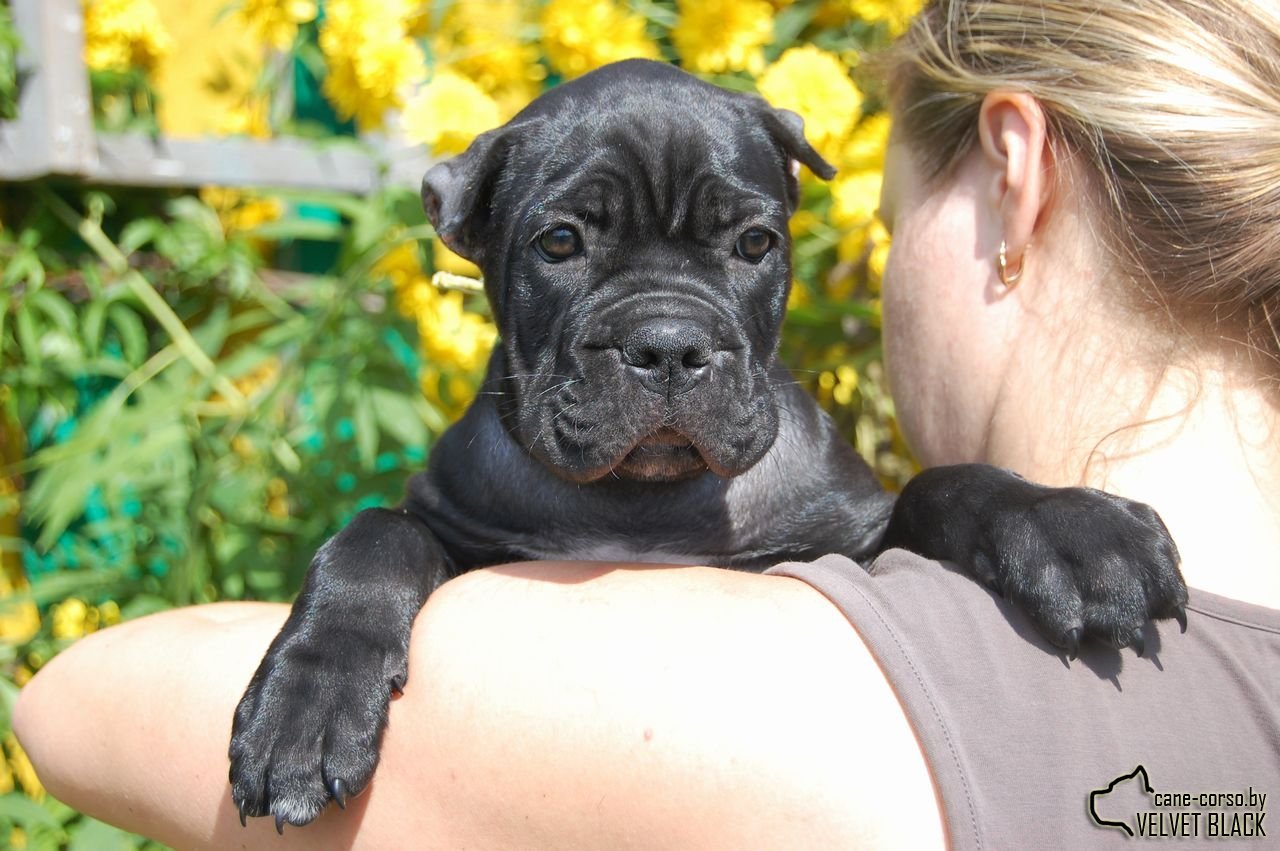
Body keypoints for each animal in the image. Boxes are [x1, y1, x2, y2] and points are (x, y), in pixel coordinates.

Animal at [230, 61, 1187, 829]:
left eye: (755, 242)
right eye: (560, 242)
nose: (666, 344)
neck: (644, 498)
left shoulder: (853, 534)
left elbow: (945, 484)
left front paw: (1072, 530)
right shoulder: (454, 526)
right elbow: (373, 534)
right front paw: (304, 705)